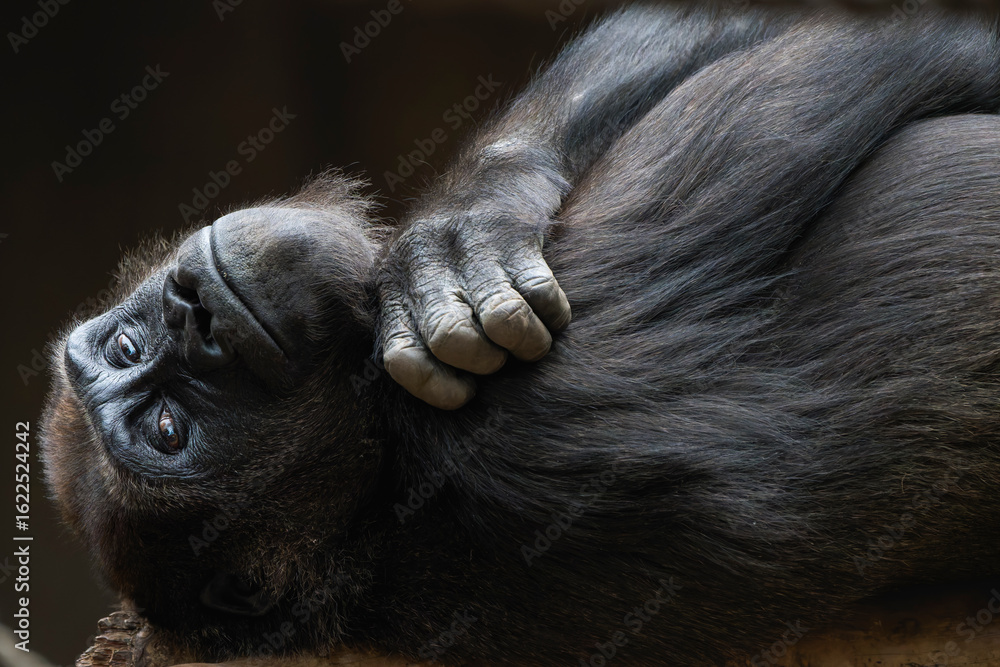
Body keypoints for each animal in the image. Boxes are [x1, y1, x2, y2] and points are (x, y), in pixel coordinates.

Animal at [40, 4, 1000, 666]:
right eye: (171, 429)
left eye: (125, 350)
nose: (194, 307)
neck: (373, 474)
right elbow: (850, 64)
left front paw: (462, 229)